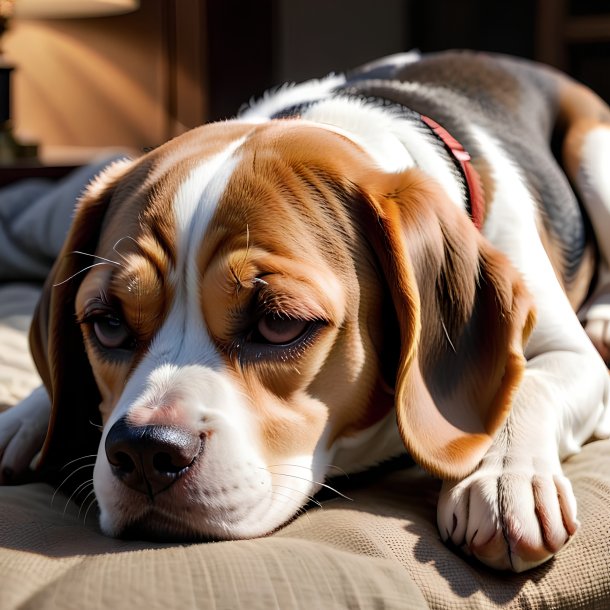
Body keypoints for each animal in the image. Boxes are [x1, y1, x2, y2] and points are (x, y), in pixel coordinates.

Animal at [1, 51, 608, 568]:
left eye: (279, 323)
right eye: (107, 324)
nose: (145, 452)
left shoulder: (574, 358)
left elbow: (532, 384)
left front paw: (506, 478)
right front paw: (25, 416)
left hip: (593, 153)